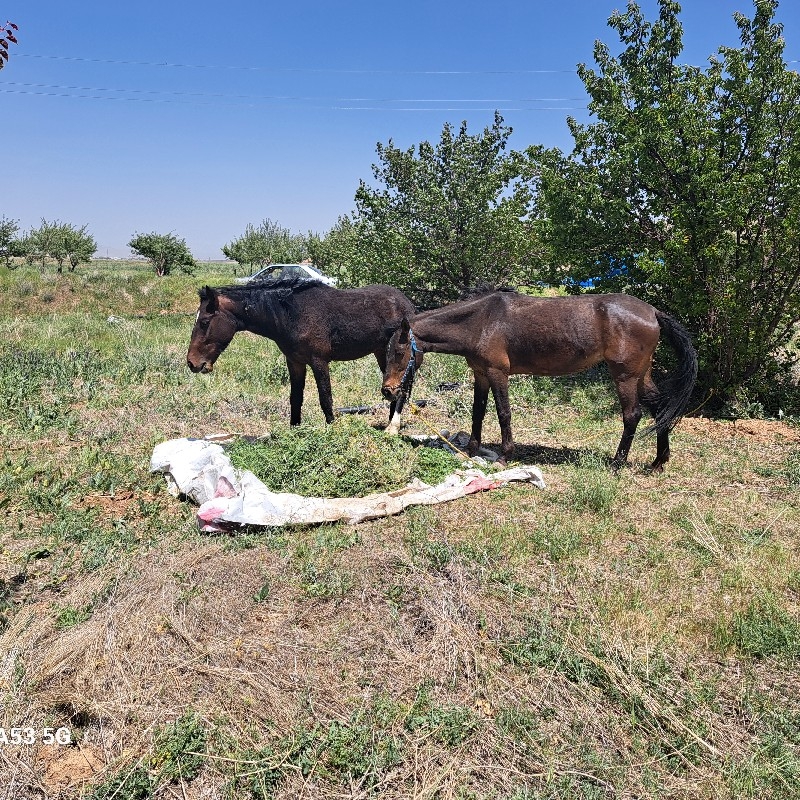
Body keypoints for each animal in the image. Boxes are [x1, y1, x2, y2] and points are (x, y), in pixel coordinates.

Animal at [187, 276, 415, 426]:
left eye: (205, 322)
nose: (192, 363)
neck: (291, 314)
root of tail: (407, 303)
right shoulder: (295, 362)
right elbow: (295, 398)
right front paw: (295, 430)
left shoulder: (319, 361)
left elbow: (325, 398)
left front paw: (332, 430)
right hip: (381, 352)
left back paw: (393, 425)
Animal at [381, 290, 698, 471]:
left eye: (398, 352)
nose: (388, 391)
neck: (481, 321)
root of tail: (652, 312)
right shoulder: (481, 374)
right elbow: (478, 413)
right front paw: (470, 450)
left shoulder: (497, 373)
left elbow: (503, 413)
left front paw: (506, 455)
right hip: (642, 374)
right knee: (659, 408)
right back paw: (658, 462)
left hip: (625, 376)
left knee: (632, 415)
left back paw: (617, 463)